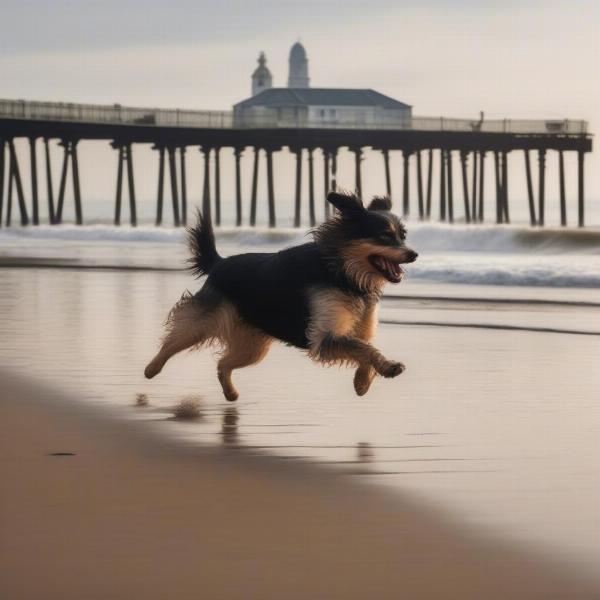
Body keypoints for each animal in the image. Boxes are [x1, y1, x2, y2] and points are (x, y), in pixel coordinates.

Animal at [145, 191, 418, 398]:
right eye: (384, 235)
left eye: (403, 236)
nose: (414, 254)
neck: (343, 273)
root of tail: (220, 263)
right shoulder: (325, 336)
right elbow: (363, 348)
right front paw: (387, 367)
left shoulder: (358, 329)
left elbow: (364, 347)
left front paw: (362, 382)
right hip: (206, 319)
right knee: (177, 338)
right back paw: (151, 368)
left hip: (253, 345)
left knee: (223, 363)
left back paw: (230, 392)